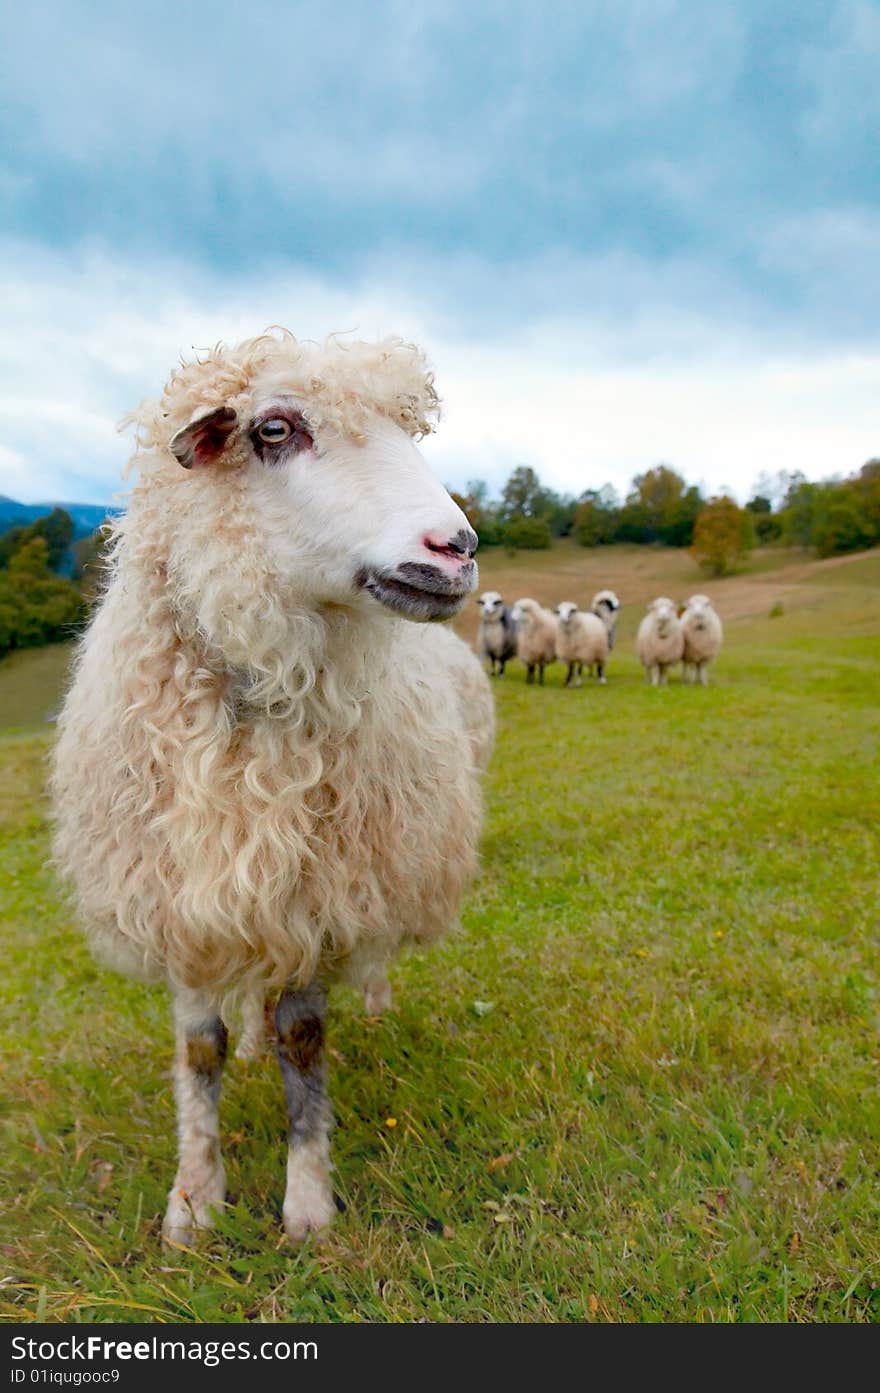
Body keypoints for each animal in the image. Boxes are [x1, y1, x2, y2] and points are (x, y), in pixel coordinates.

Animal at [51, 328, 495, 1253]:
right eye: (276, 430)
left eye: (411, 429)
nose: (457, 548)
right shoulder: (181, 893)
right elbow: (200, 1052)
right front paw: (192, 1205)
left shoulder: (319, 895)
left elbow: (304, 1041)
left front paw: (307, 1205)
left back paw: (375, 1003)